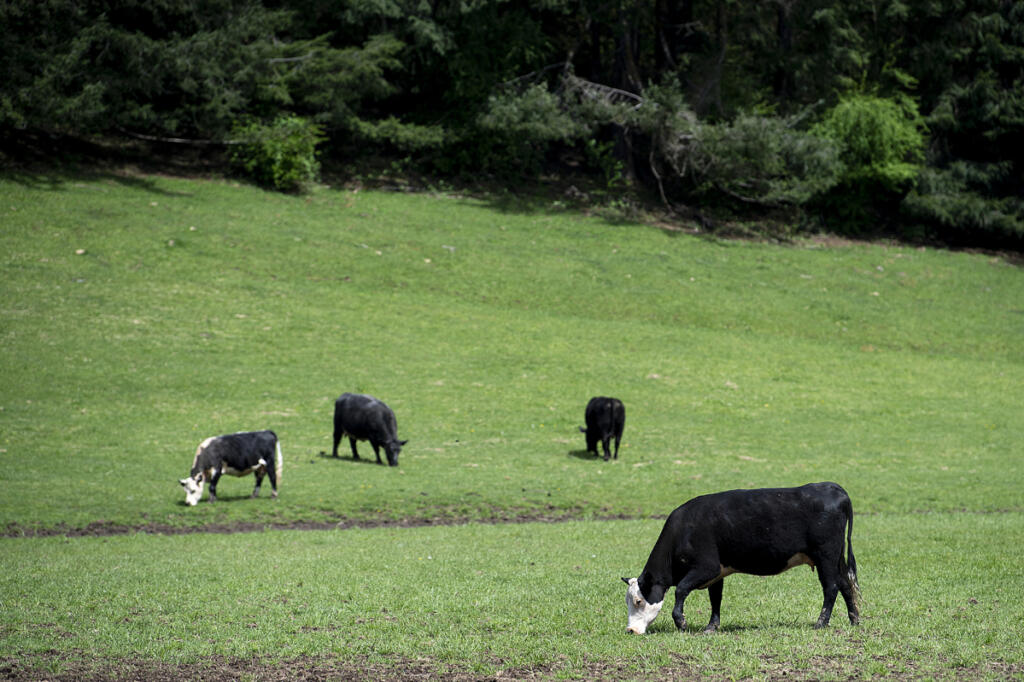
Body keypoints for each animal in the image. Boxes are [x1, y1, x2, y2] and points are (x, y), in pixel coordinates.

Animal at [622, 482, 859, 634]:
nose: (631, 630)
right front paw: (711, 627)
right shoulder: (717, 572)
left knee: (831, 587)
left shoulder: (706, 568)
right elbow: (715, 599)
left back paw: (821, 623)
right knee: (846, 584)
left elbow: (681, 589)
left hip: (825, 556)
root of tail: (833, 487)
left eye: (638, 600)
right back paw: (854, 619)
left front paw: (681, 623)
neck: (685, 529)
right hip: (836, 558)